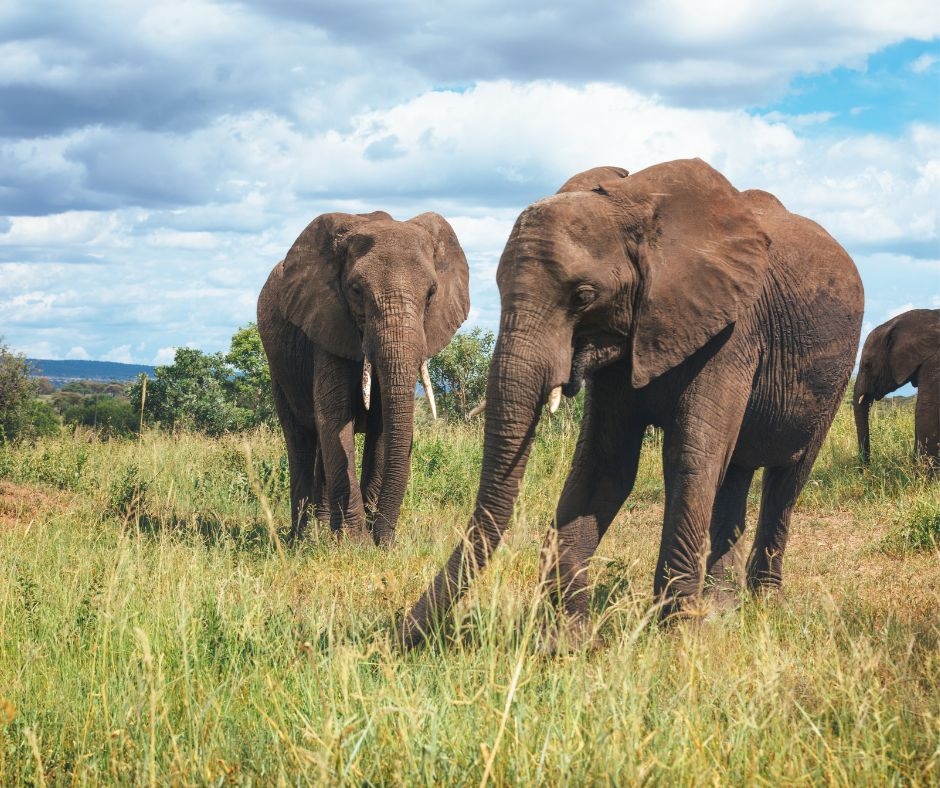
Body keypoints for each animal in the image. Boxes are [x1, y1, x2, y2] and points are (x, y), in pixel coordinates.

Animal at [258, 206, 470, 544]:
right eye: (356, 290)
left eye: (431, 293)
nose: (386, 541)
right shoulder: (325, 322)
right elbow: (335, 417)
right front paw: (355, 543)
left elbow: (382, 425)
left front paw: (368, 541)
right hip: (279, 365)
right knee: (300, 438)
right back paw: (302, 539)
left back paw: (321, 532)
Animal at [400, 157, 864, 648]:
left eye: (583, 296)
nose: (404, 633)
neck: (637, 208)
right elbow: (605, 467)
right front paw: (569, 641)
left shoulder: (734, 332)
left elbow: (689, 459)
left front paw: (675, 638)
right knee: (734, 474)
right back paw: (722, 610)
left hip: (834, 376)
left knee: (785, 480)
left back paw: (762, 604)